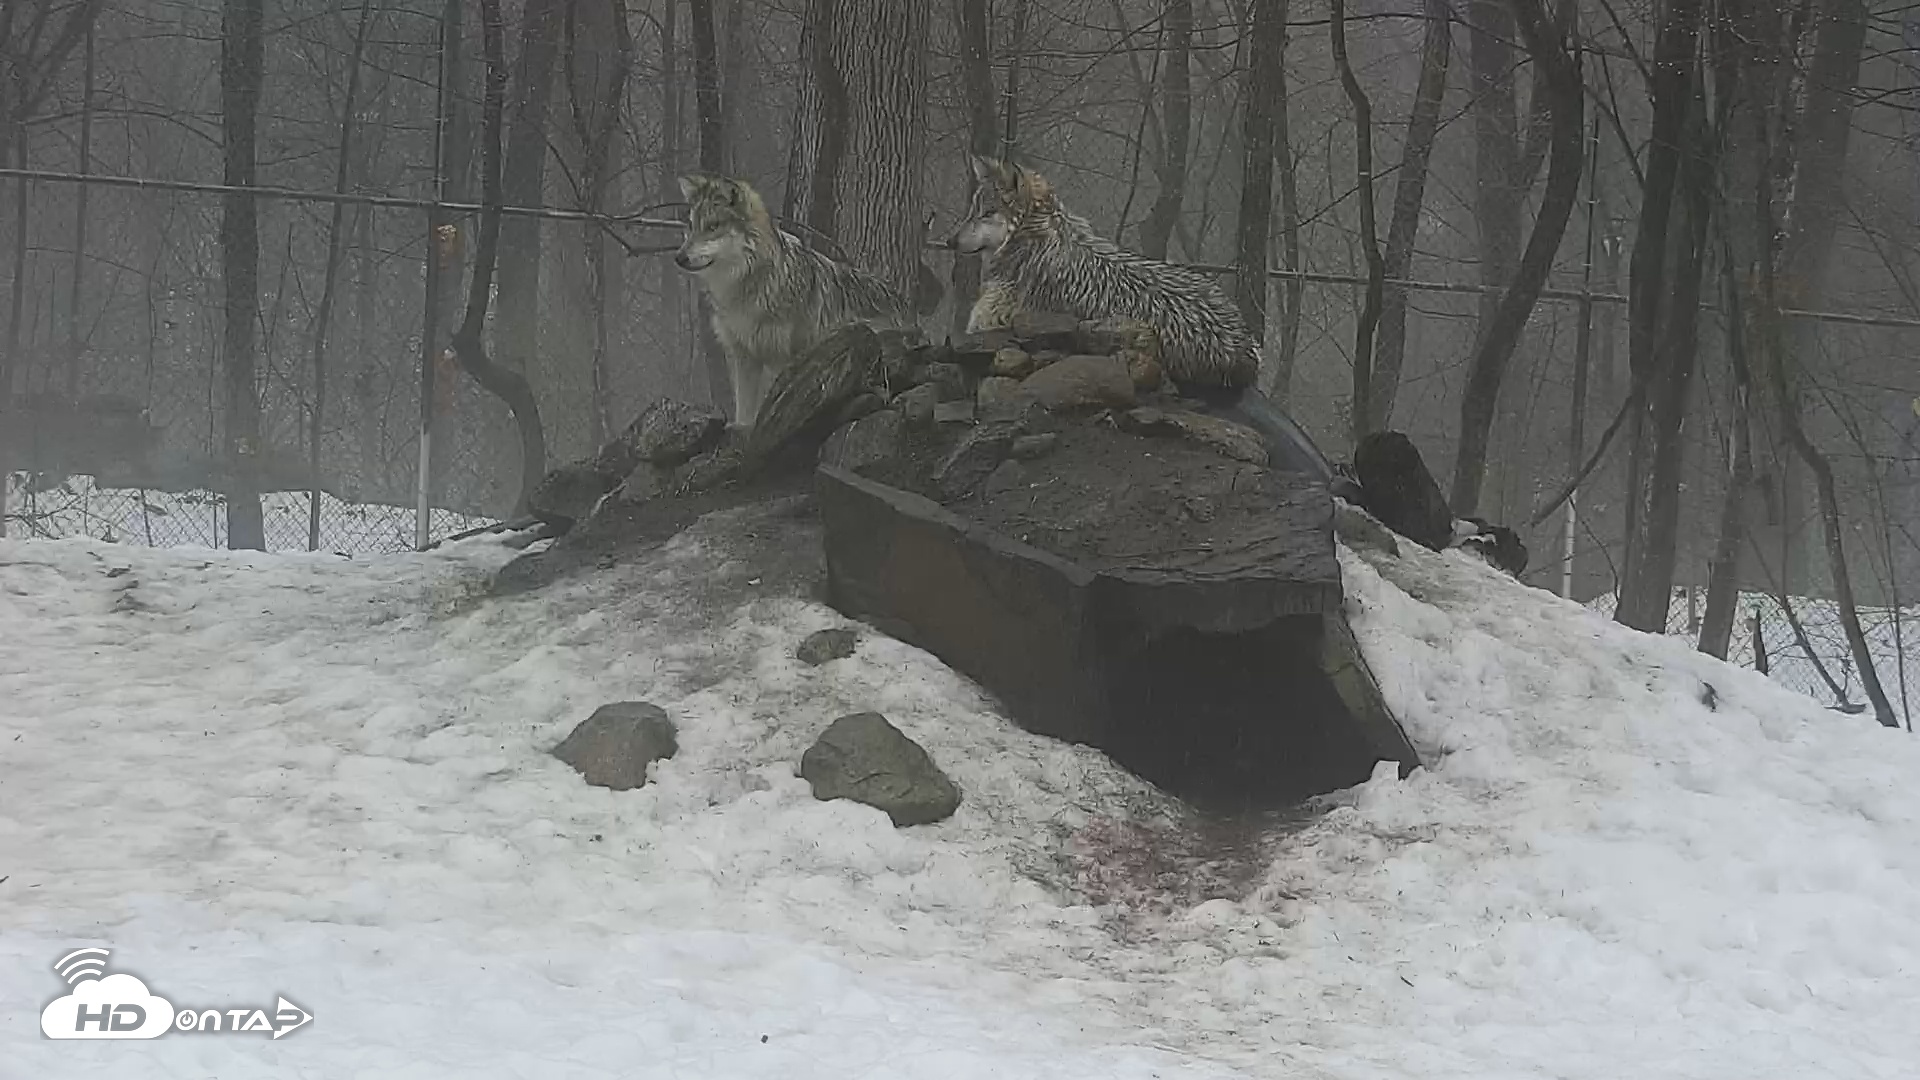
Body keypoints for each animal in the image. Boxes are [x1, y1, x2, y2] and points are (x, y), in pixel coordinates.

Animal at [674, 173, 920, 426]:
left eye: (713, 226)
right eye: (691, 226)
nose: (679, 257)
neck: (747, 286)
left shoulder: (786, 359)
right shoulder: (745, 356)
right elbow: (744, 414)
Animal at [949, 155, 1260, 392]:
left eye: (986, 213)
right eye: (973, 210)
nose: (949, 241)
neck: (1034, 237)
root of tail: (1244, 348)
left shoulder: (986, 323)